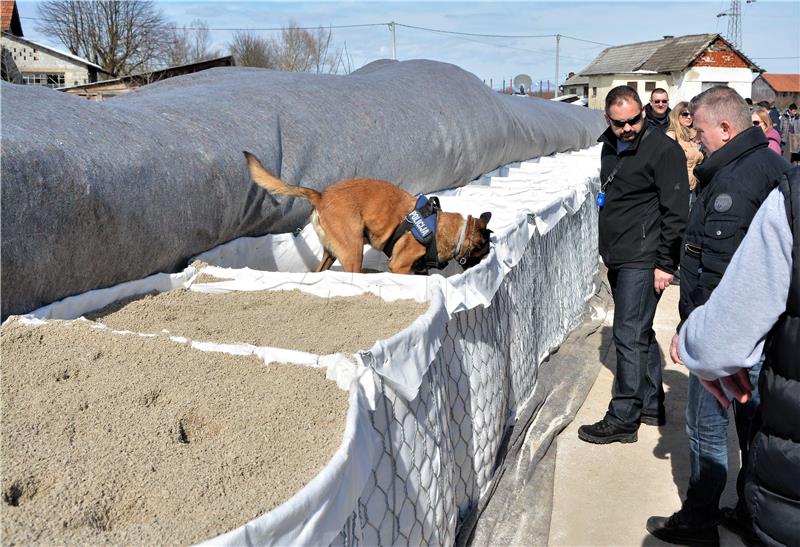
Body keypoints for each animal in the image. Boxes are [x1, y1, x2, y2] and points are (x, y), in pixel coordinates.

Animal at [244, 152, 494, 274]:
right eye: (482, 253)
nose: (479, 266)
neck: (444, 228)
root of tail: (321, 195)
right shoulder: (400, 267)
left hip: (332, 253)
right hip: (353, 252)